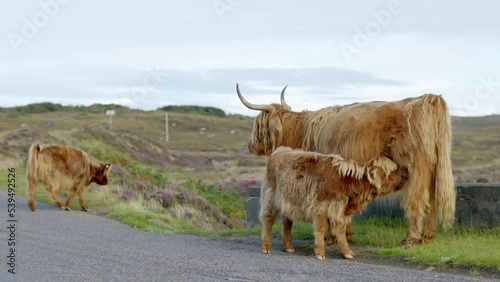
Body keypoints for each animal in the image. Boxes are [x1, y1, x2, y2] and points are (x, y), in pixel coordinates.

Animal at [262, 148, 406, 260]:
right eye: (391, 174)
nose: (404, 178)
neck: (346, 181)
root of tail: (279, 150)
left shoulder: (340, 211)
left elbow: (341, 231)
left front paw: (347, 252)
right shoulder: (321, 207)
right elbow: (320, 229)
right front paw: (320, 252)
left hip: (288, 203)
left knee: (287, 224)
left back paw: (289, 247)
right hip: (271, 199)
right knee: (268, 221)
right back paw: (266, 247)